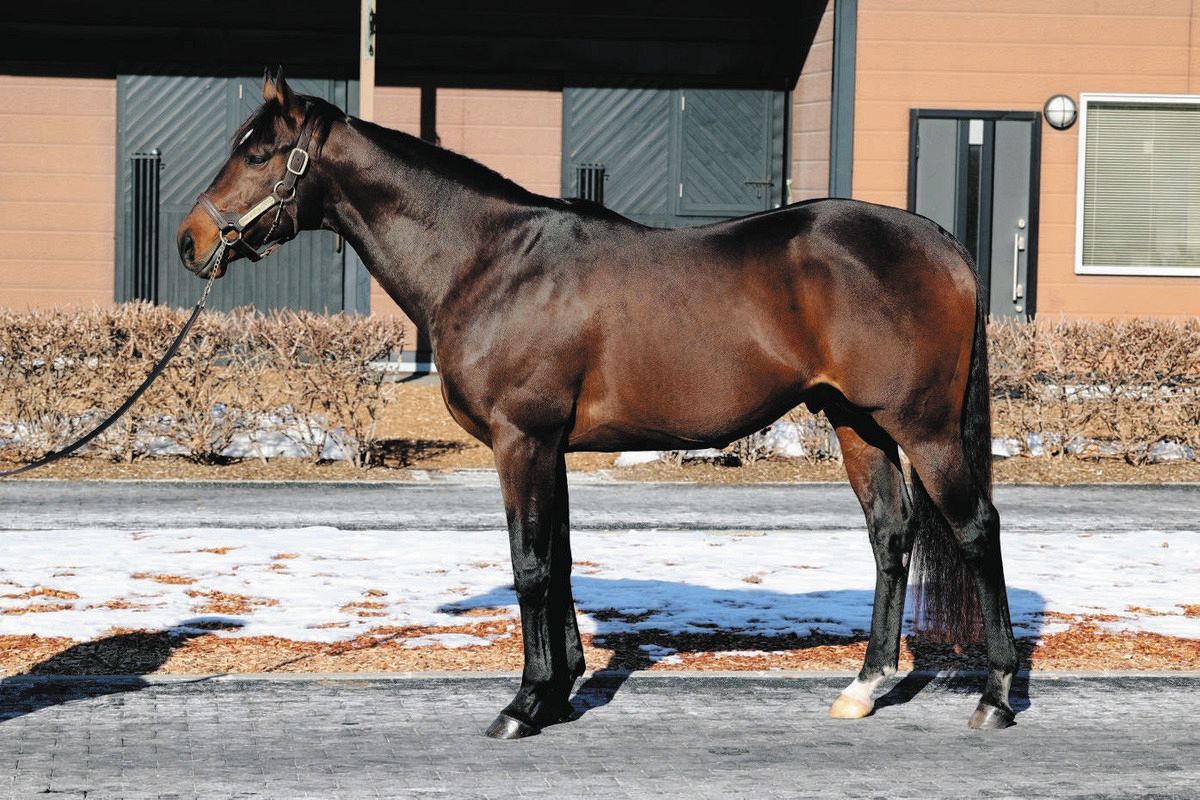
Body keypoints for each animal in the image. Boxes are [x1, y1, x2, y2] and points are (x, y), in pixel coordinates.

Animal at [177, 71, 1017, 743]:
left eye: (260, 153)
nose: (189, 242)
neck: (488, 261)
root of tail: (941, 241)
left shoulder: (521, 440)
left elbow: (529, 565)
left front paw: (523, 704)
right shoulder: (550, 446)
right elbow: (562, 558)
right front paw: (560, 690)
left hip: (926, 430)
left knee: (977, 529)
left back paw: (998, 694)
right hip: (857, 423)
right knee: (892, 535)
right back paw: (865, 687)